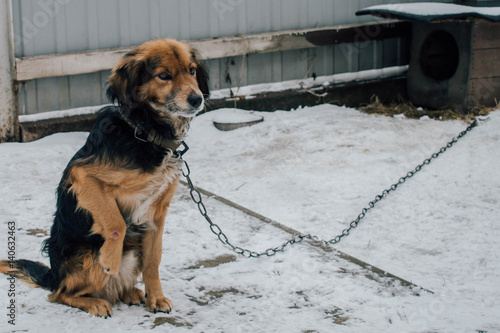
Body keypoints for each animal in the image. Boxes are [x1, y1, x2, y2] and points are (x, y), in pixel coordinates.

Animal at [0, 38, 209, 316]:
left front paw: (156, 297)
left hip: (133, 254)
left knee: (114, 288)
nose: (197, 99)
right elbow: (115, 223)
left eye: (192, 70)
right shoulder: (83, 175)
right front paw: (111, 258)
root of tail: (54, 275)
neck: (145, 131)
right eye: (164, 75)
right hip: (87, 261)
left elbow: (153, 261)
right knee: (61, 294)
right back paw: (94, 302)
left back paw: (131, 292)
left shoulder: (157, 214)